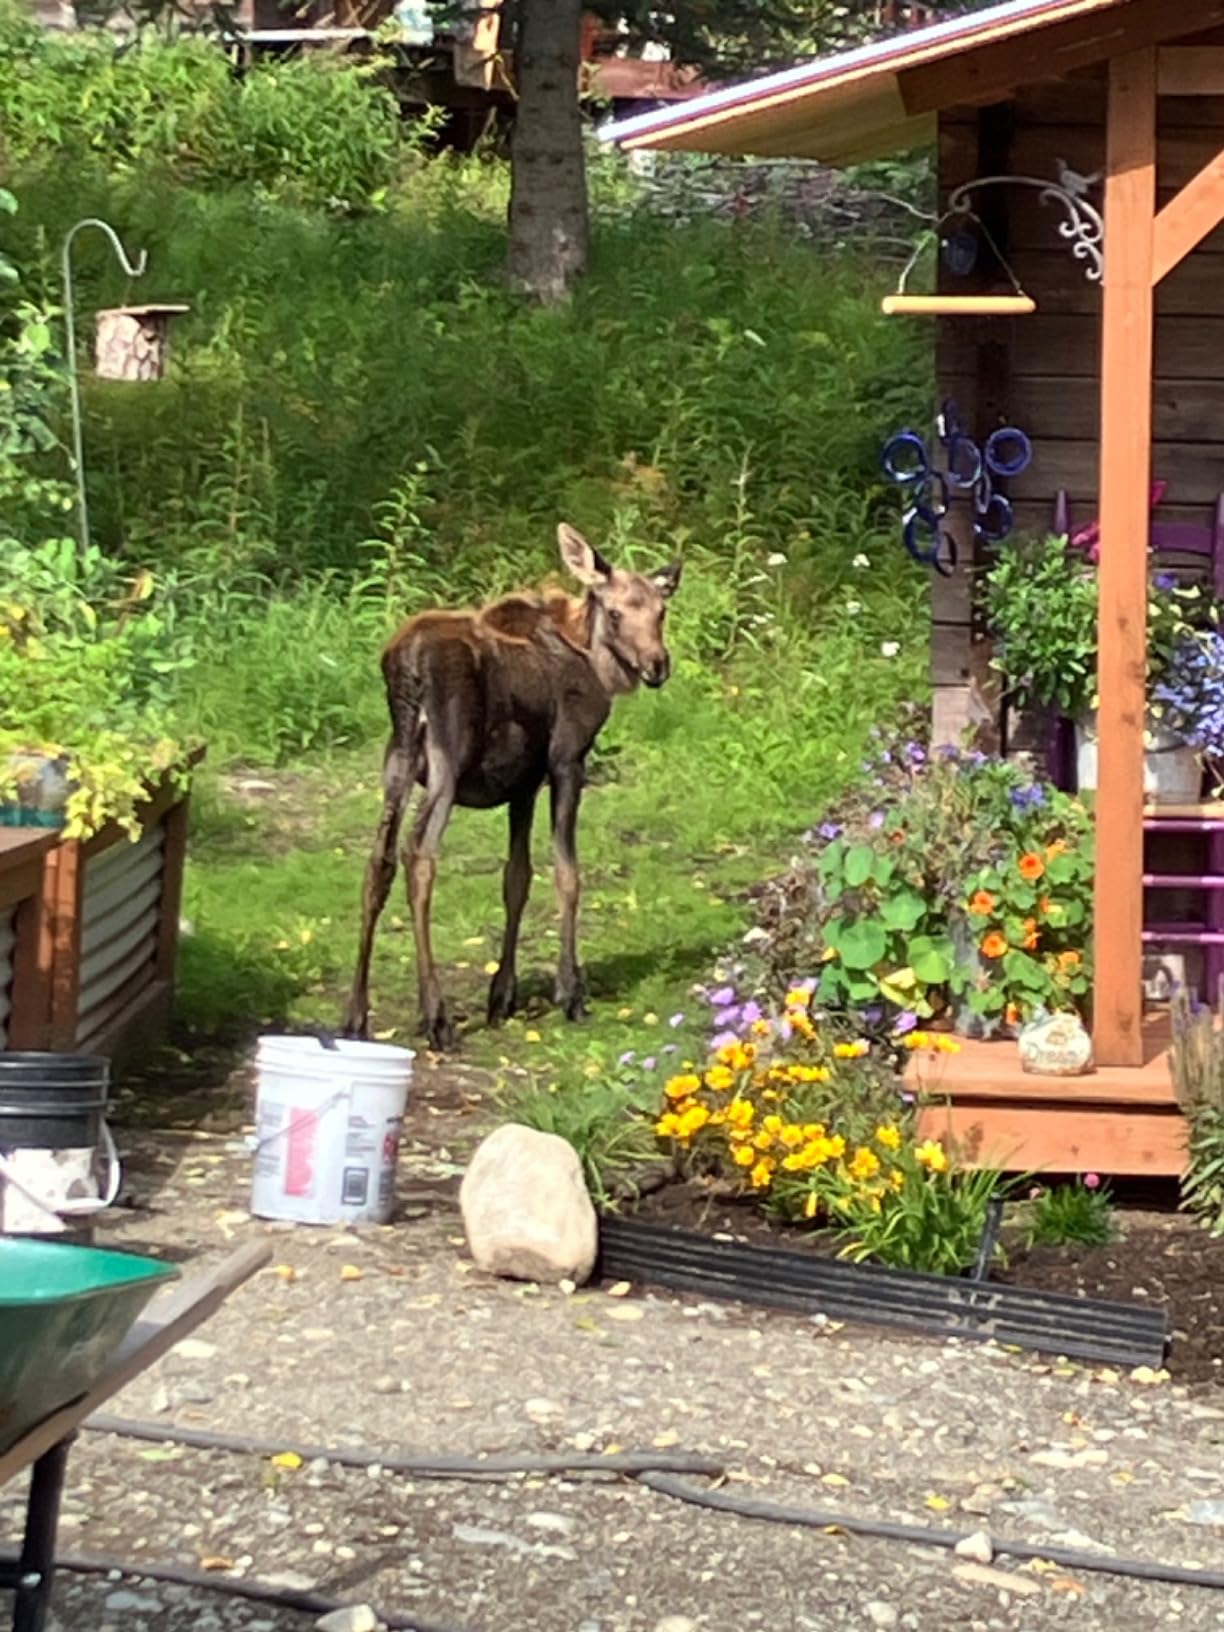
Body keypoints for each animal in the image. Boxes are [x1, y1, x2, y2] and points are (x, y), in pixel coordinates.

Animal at [342, 523, 681, 1051]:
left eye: (661, 612)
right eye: (616, 612)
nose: (656, 665)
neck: (591, 657)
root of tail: (405, 665)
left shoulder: (522, 782)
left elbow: (516, 878)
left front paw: (503, 994)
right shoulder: (566, 761)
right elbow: (567, 873)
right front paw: (570, 991)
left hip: (396, 760)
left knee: (378, 862)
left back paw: (356, 1013)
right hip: (446, 759)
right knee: (419, 853)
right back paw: (436, 1016)